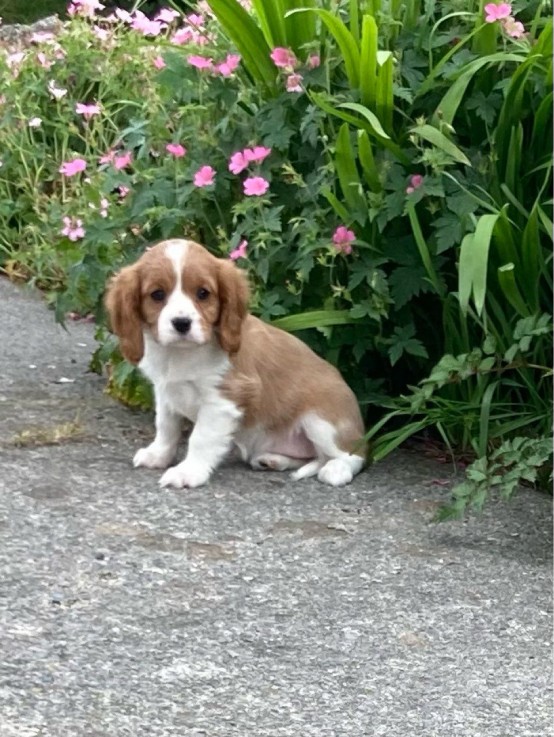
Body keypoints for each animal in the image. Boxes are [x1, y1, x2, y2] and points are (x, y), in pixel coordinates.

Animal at [106, 239, 366, 486]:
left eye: (203, 293)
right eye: (157, 295)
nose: (182, 323)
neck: (182, 354)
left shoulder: (223, 399)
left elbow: (200, 438)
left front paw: (188, 472)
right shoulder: (165, 391)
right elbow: (166, 427)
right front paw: (158, 455)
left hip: (321, 420)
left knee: (353, 455)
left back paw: (336, 470)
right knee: (313, 456)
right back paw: (272, 460)